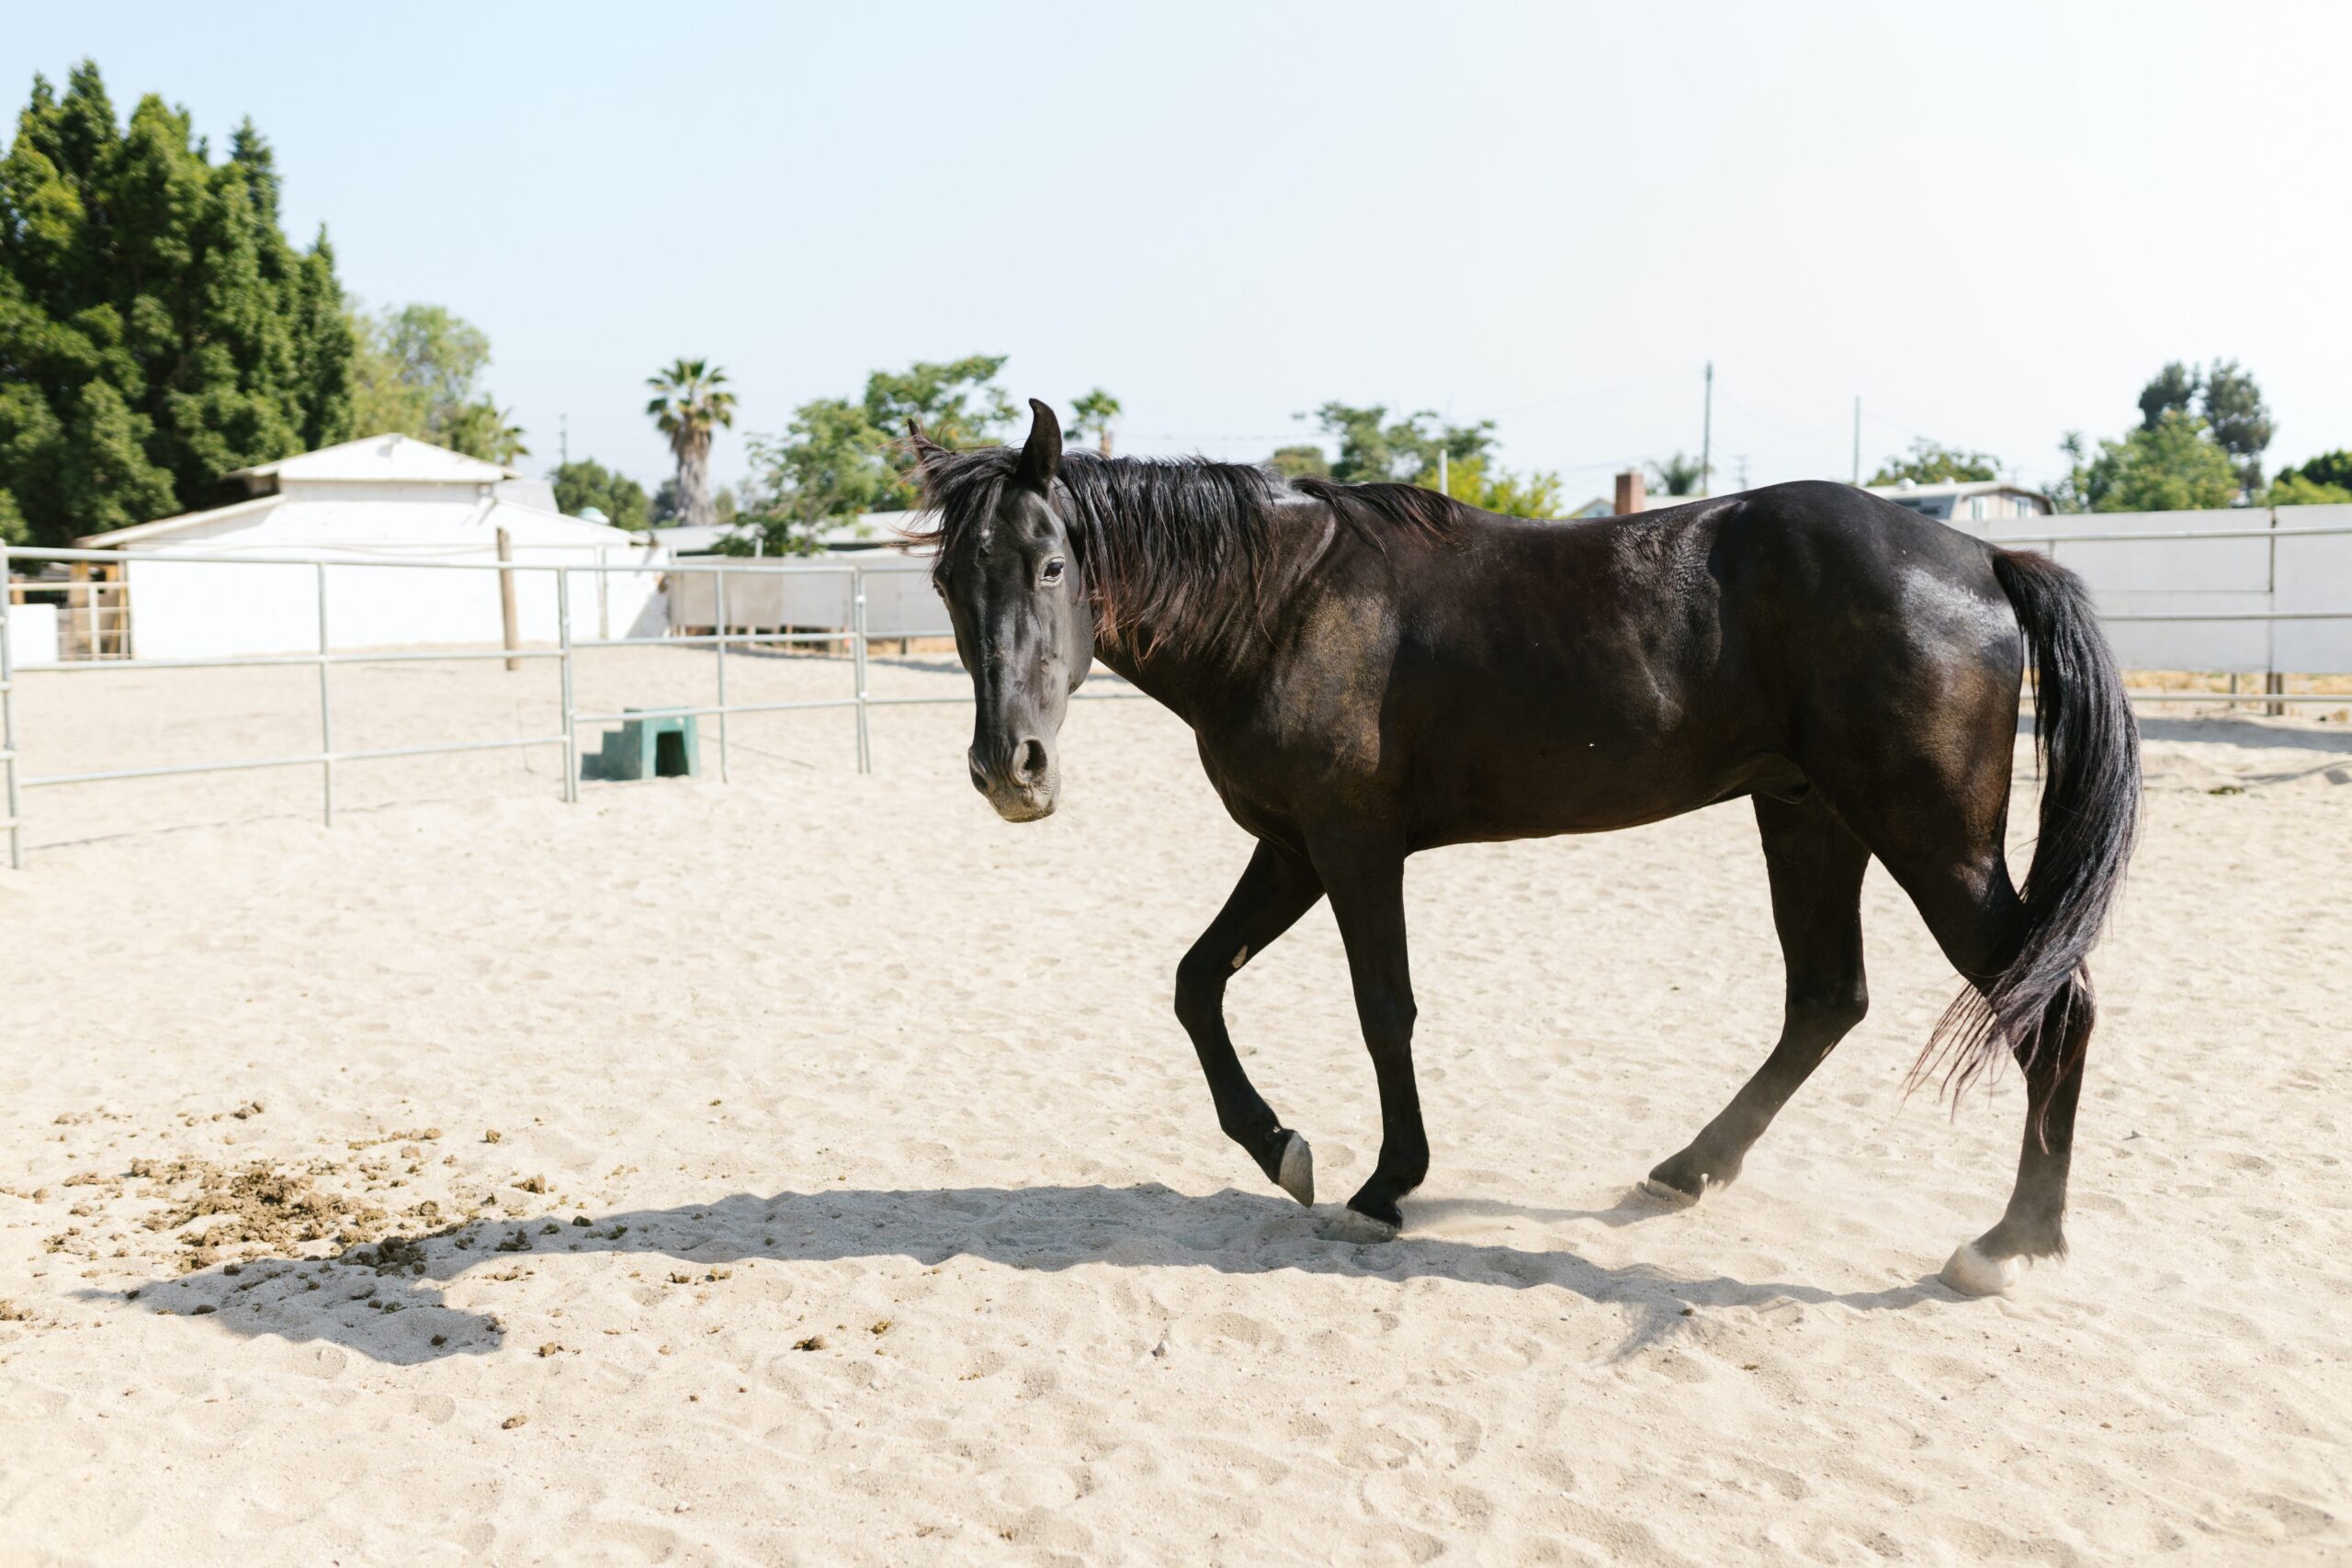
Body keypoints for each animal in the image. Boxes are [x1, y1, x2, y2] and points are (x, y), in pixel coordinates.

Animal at [908, 404, 2144, 1297]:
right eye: (945, 578)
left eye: (1052, 566)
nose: (1010, 769)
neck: (1285, 604)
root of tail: (1980, 555)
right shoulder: (1291, 849)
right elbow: (1195, 983)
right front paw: (1280, 1149)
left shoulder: (1353, 847)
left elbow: (1382, 1010)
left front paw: (1382, 1187)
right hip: (1807, 814)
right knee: (1827, 998)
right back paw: (1688, 1171)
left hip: (1929, 837)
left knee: (2048, 1008)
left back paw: (2006, 1244)